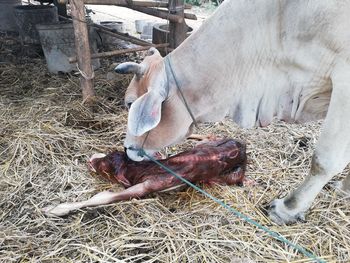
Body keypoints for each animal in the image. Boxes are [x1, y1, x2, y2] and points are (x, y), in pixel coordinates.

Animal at [43, 138, 246, 217]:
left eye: (104, 169)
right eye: (110, 153)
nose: (90, 159)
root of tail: (242, 146)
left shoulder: (145, 186)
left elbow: (105, 197)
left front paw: (55, 208)